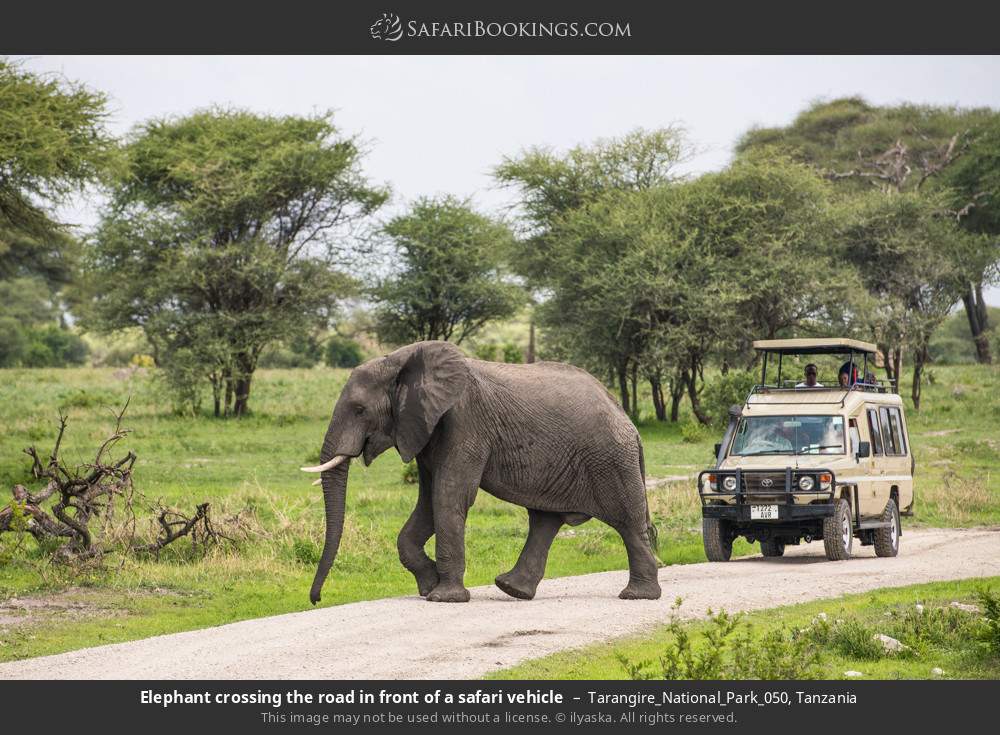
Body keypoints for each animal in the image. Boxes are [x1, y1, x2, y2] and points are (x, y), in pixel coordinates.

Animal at [301, 340, 661, 604]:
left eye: (360, 410)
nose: (316, 599)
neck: (400, 361)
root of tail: (628, 421)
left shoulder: (465, 422)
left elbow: (448, 497)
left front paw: (443, 598)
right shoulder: (426, 430)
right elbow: (428, 504)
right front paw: (428, 586)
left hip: (611, 460)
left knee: (627, 523)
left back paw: (637, 596)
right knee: (545, 521)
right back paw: (512, 589)